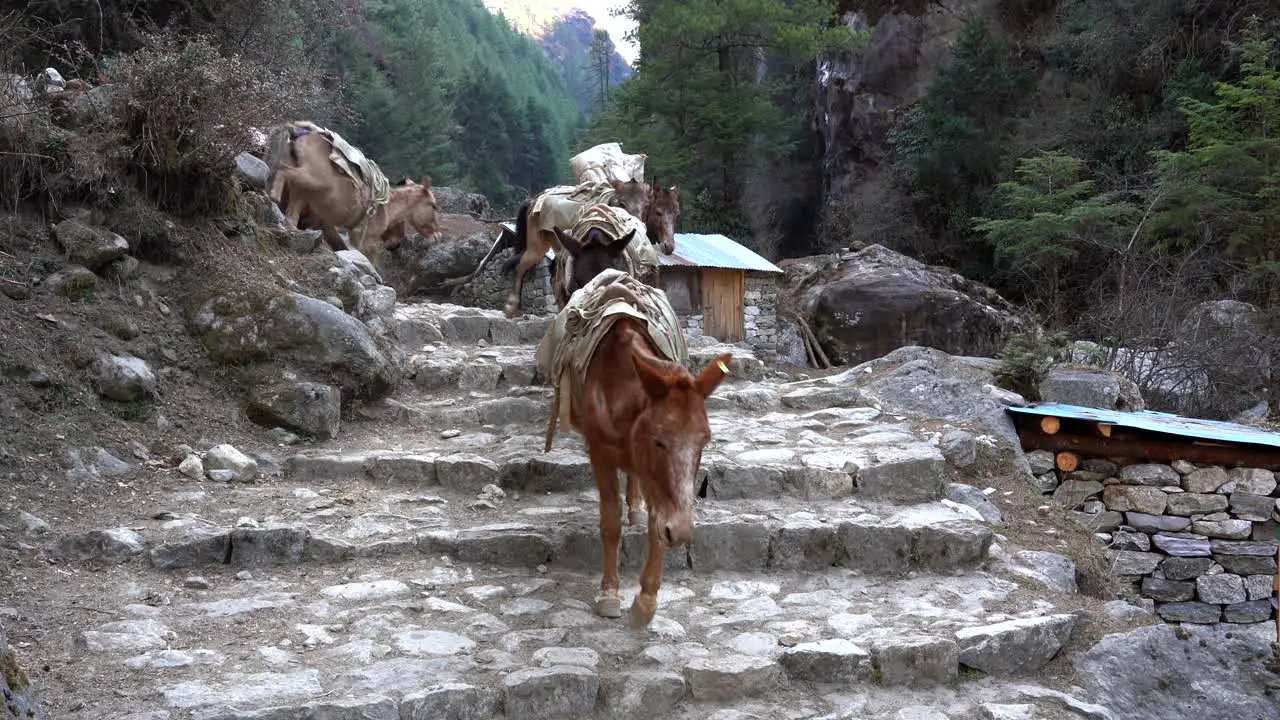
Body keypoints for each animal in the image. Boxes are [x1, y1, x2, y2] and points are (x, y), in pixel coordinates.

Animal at [263, 122, 440, 269]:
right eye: (433, 205)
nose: (437, 236)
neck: (386, 205)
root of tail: (298, 132)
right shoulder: (366, 240)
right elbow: (370, 261)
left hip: (300, 191)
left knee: (291, 215)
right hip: (311, 179)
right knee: (283, 169)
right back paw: (274, 195)